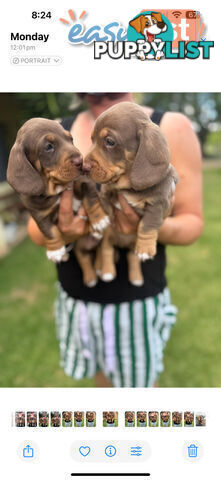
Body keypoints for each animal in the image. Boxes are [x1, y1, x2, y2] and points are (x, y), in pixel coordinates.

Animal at [7, 118, 109, 286]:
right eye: (48, 147)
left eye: (71, 139)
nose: (81, 162)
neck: (58, 189)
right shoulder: (38, 213)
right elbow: (48, 230)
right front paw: (55, 250)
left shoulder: (85, 181)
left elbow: (91, 199)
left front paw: (99, 220)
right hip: (79, 247)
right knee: (83, 257)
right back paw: (90, 278)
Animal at [83, 102, 178, 284]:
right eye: (91, 139)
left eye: (110, 141)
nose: (83, 167)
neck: (128, 186)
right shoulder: (106, 193)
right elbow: (104, 206)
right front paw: (97, 224)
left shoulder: (158, 204)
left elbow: (148, 225)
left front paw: (145, 248)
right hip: (109, 239)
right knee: (105, 250)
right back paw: (105, 270)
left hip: (131, 246)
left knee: (132, 258)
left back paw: (136, 277)